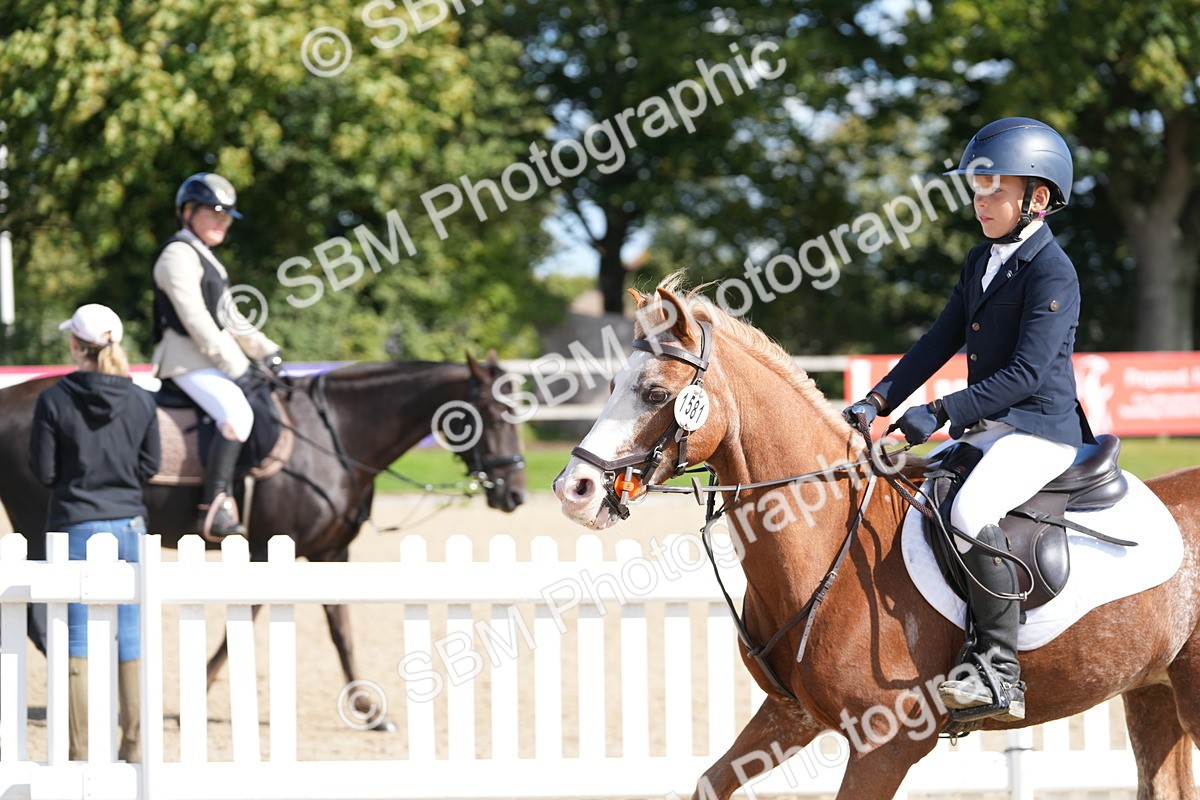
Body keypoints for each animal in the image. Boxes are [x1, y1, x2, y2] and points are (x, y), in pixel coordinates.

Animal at [0, 353, 526, 731]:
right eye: (491, 413)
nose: (515, 494)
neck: (333, 436)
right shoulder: (270, 548)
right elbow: (244, 618)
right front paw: (192, 698)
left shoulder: (332, 552)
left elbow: (341, 630)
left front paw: (368, 709)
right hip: (41, 530)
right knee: (41, 618)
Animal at [553, 277, 1200, 799]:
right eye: (612, 385)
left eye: (656, 394)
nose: (573, 489)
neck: (823, 540)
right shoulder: (790, 716)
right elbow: (711, 783)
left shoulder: (885, 744)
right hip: (1152, 692)